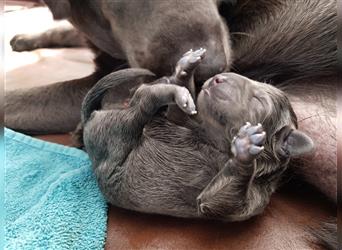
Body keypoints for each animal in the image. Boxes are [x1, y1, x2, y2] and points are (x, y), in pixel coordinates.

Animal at [81, 49, 314, 222]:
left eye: (258, 101)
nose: (218, 78)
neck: (209, 138)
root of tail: (91, 118)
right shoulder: (182, 119)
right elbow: (177, 113)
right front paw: (185, 73)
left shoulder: (247, 201)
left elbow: (219, 201)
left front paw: (246, 147)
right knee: (147, 96)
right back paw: (179, 76)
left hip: (116, 143)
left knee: (144, 100)